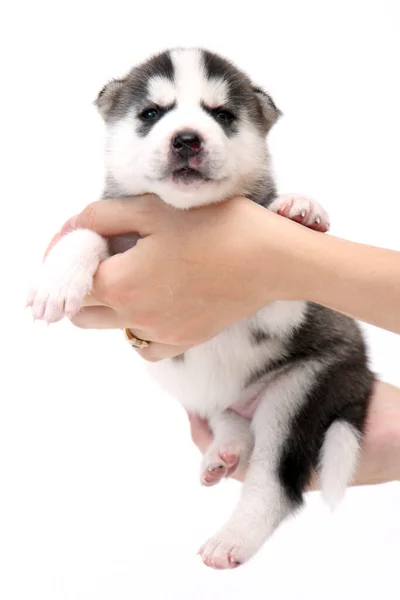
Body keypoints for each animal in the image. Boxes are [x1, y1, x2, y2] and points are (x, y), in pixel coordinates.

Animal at [28, 49, 376, 568]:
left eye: (223, 116)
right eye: (152, 113)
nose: (187, 138)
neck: (185, 214)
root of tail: (362, 370)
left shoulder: (280, 317)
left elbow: (281, 275)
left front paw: (298, 212)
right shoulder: (113, 227)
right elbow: (83, 233)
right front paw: (56, 281)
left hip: (299, 390)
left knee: (272, 482)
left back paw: (233, 538)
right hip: (223, 401)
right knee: (233, 424)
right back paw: (224, 453)